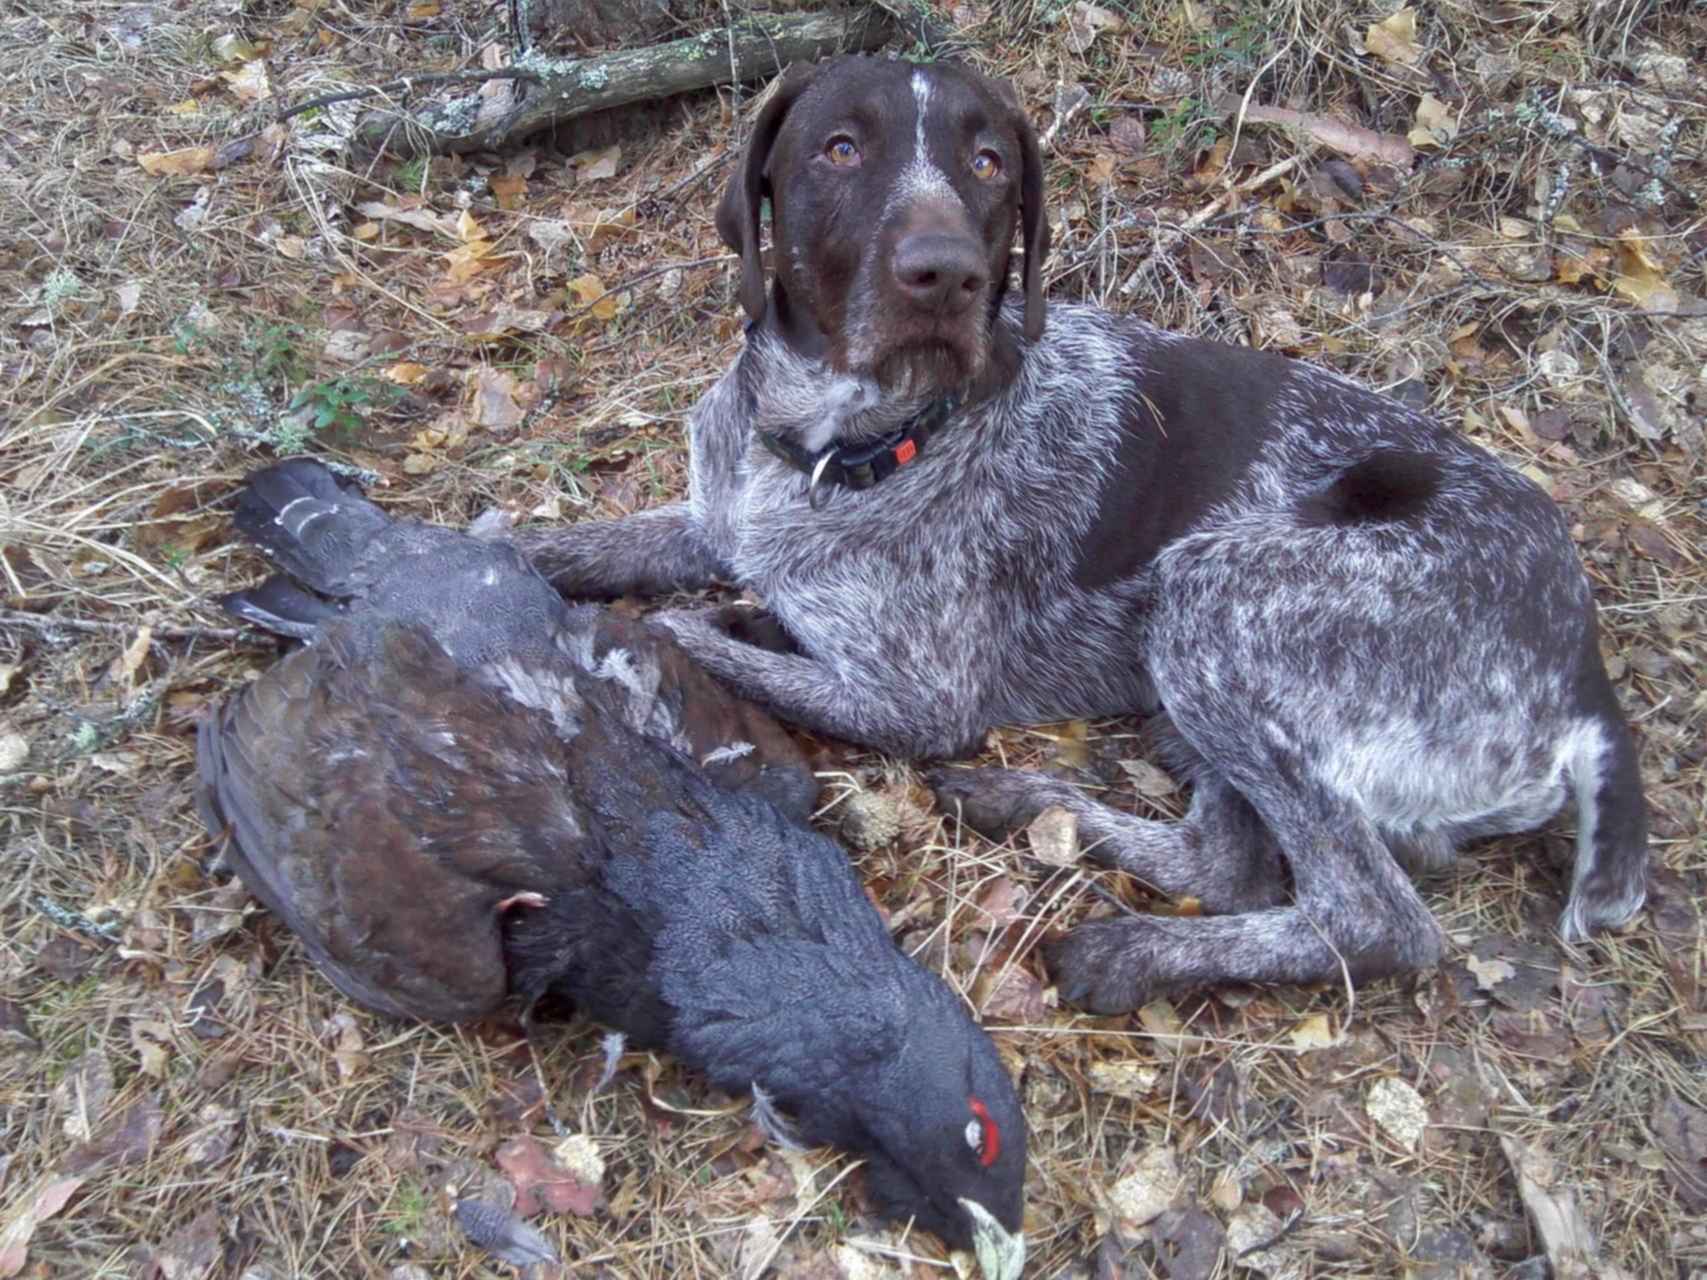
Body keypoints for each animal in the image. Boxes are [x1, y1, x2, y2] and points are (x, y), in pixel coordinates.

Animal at [512, 55, 1645, 1017]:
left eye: (987, 164)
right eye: (838, 148)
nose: (945, 273)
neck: (837, 446)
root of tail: (1587, 678)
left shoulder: (924, 703)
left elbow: (689, 634)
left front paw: (694, 630)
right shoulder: (715, 523)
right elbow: (575, 546)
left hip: (1217, 597)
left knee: (1368, 918)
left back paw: (1132, 949)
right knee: (1226, 859)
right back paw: (1022, 802)